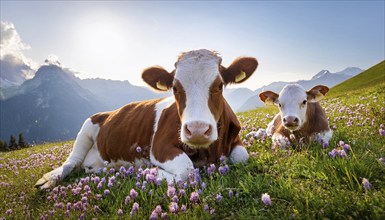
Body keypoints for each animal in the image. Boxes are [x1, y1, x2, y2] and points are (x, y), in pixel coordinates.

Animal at [36, 49, 258, 189]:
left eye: (219, 85)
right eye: (175, 88)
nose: (197, 130)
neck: (207, 152)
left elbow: (241, 156)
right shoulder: (160, 146)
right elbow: (186, 171)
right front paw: (147, 172)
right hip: (87, 126)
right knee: (72, 161)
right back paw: (50, 179)